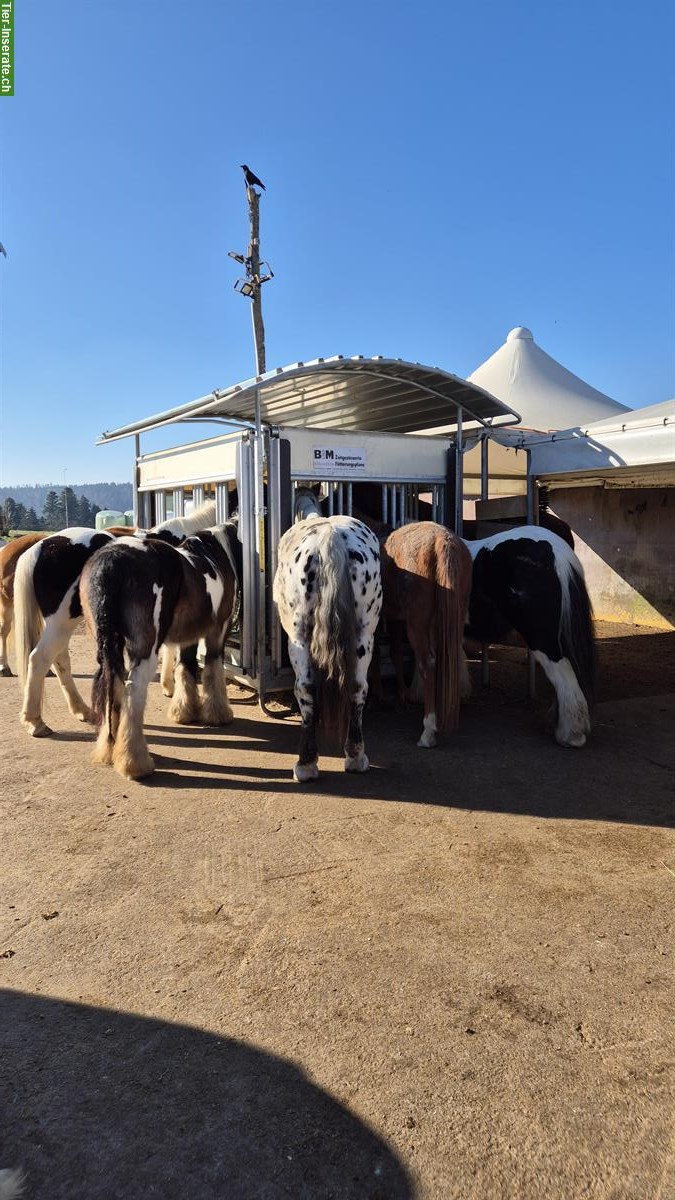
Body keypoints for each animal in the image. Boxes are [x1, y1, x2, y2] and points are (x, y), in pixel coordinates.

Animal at [79, 523, 240, 782]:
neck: (214, 552)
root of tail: (110, 562)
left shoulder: (189, 635)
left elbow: (186, 668)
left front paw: (184, 712)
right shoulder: (217, 631)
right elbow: (213, 669)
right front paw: (218, 714)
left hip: (110, 647)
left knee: (114, 685)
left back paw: (110, 749)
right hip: (145, 649)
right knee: (133, 693)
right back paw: (135, 764)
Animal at [270, 492, 381, 782]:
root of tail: (330, 540)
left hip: (298, 637)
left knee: (306, 688)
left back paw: (306, 764)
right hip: (364, 634)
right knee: (357, 687)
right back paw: (355, 757)